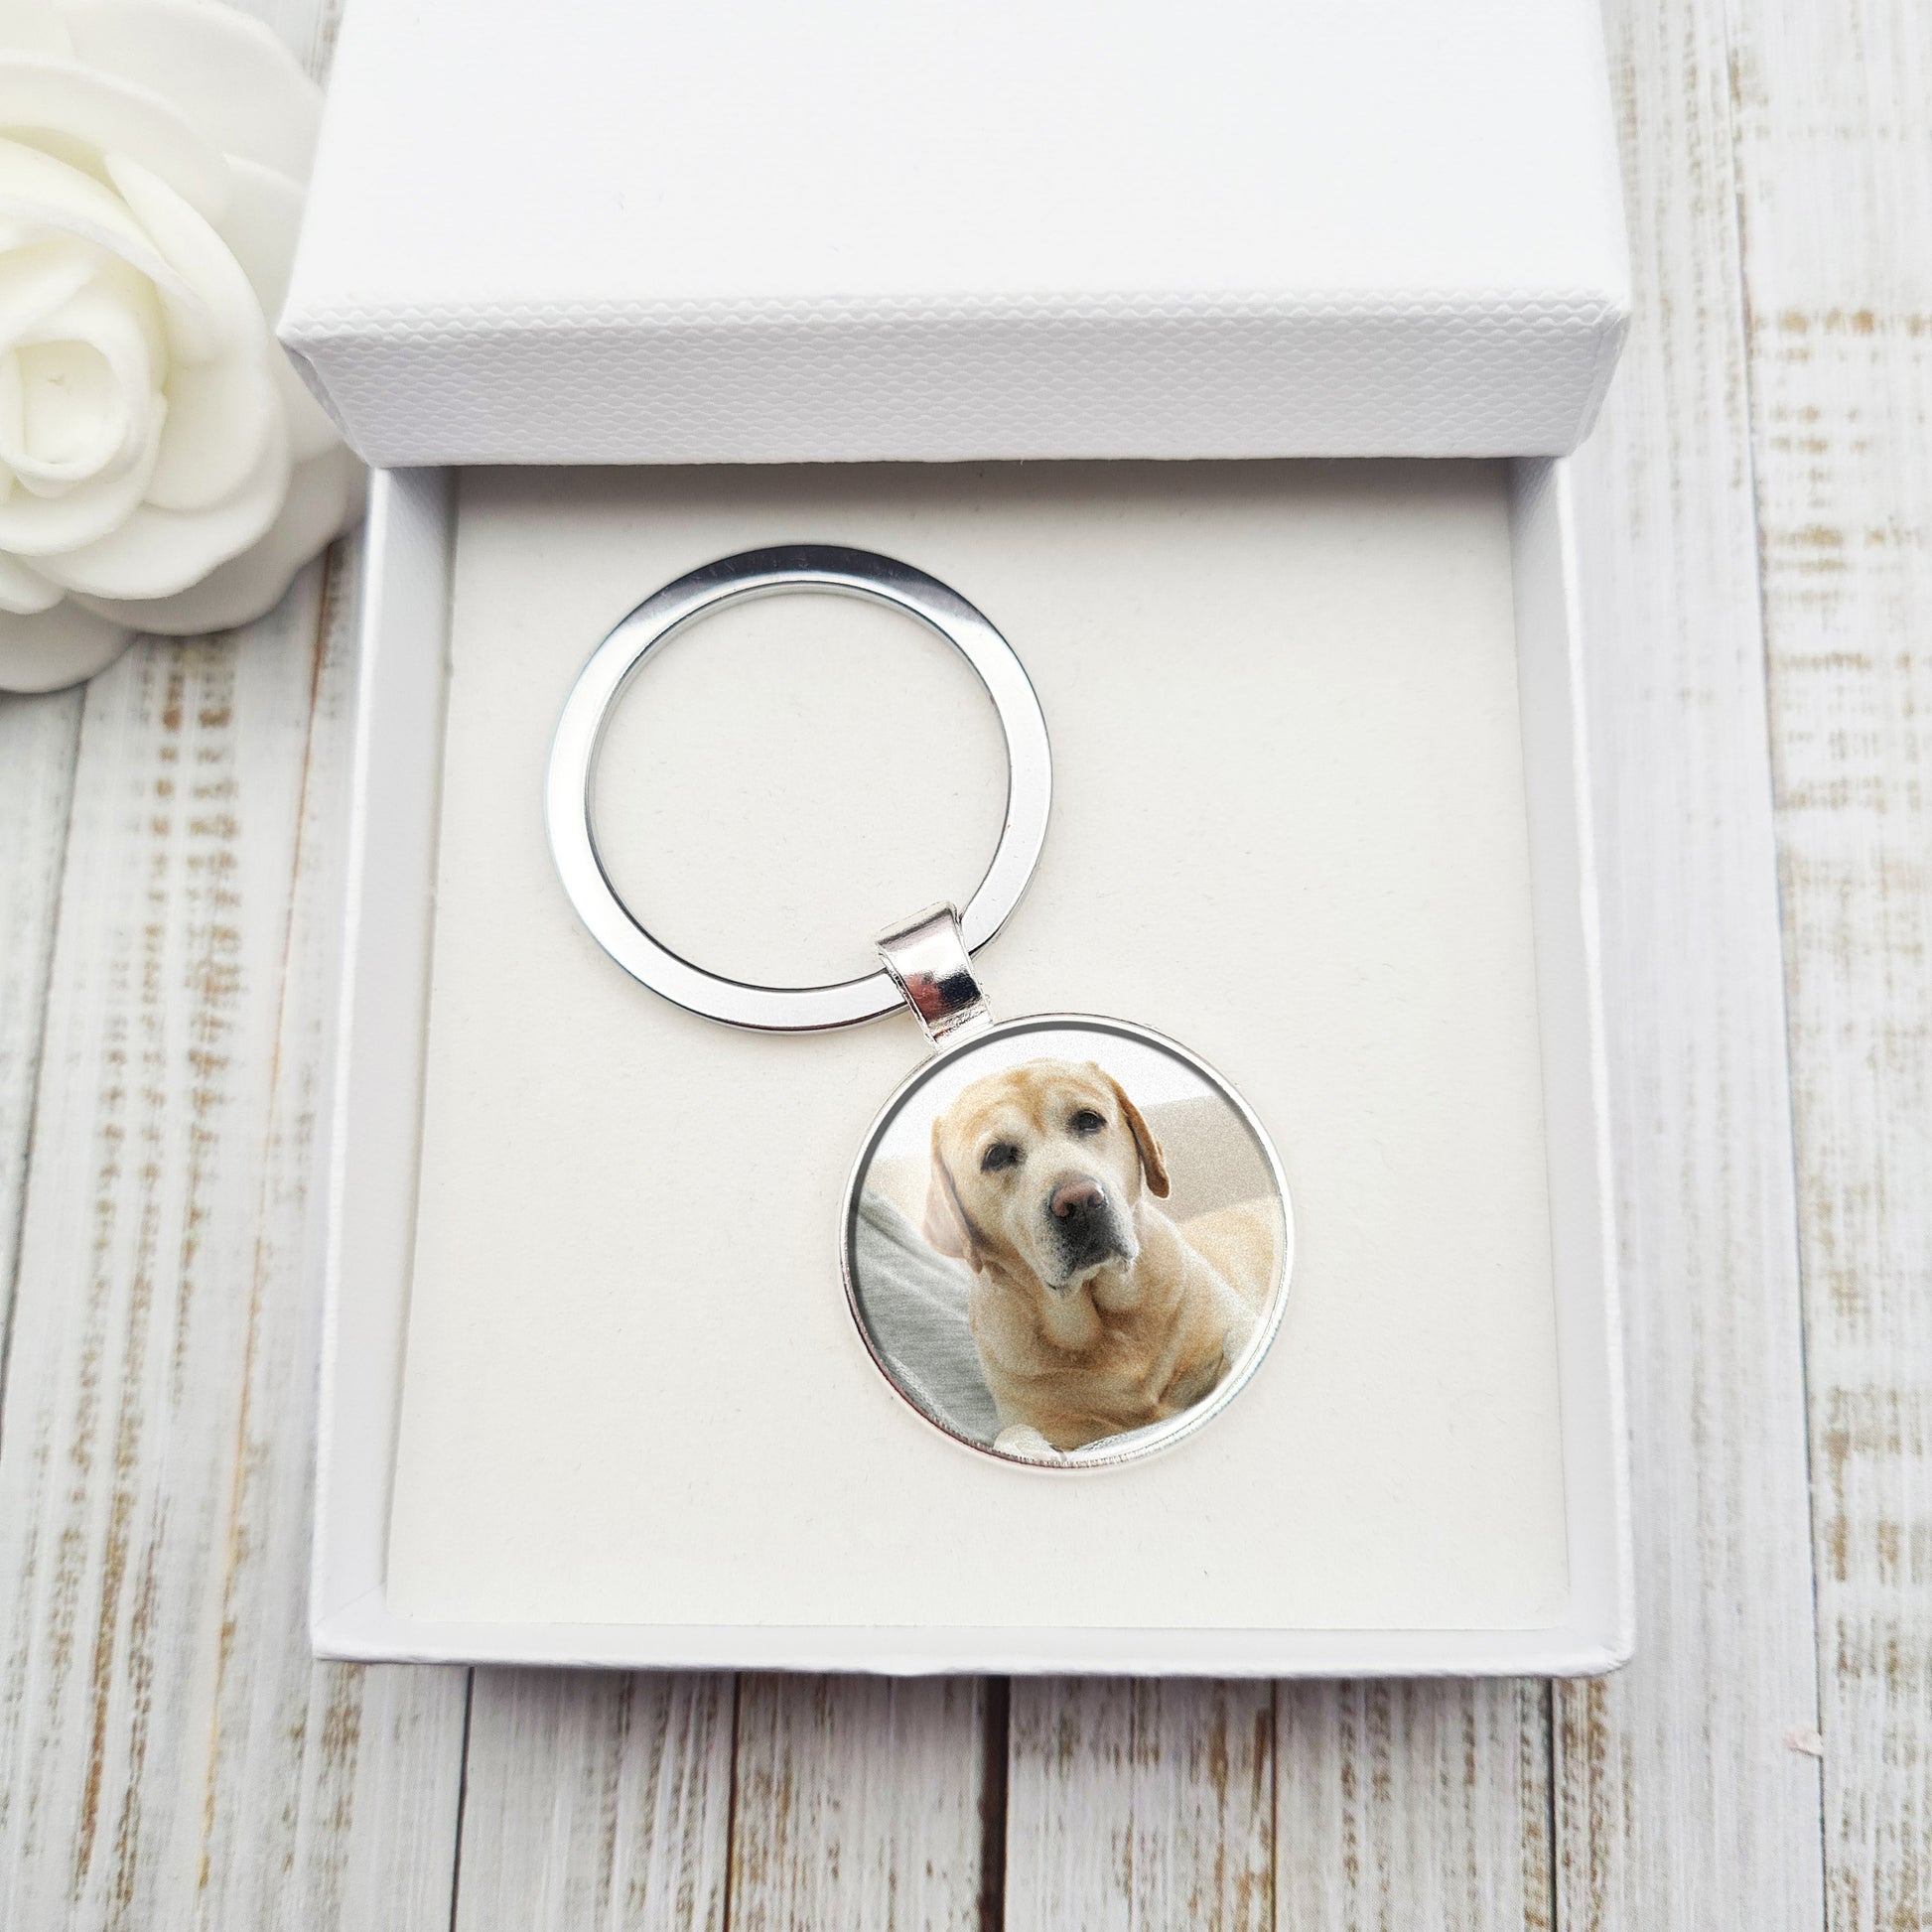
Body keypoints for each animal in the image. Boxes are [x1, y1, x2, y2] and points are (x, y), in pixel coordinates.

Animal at [923, 1066, 1283, 1452]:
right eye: (996, 1155)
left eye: (1088, 1120)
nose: (1080, 1202)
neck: (1106, 1323)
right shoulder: (1056, 1425)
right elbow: (1013, 1433)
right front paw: (1027, 1445)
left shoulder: (1231, 1328)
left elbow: (1237, 1338)